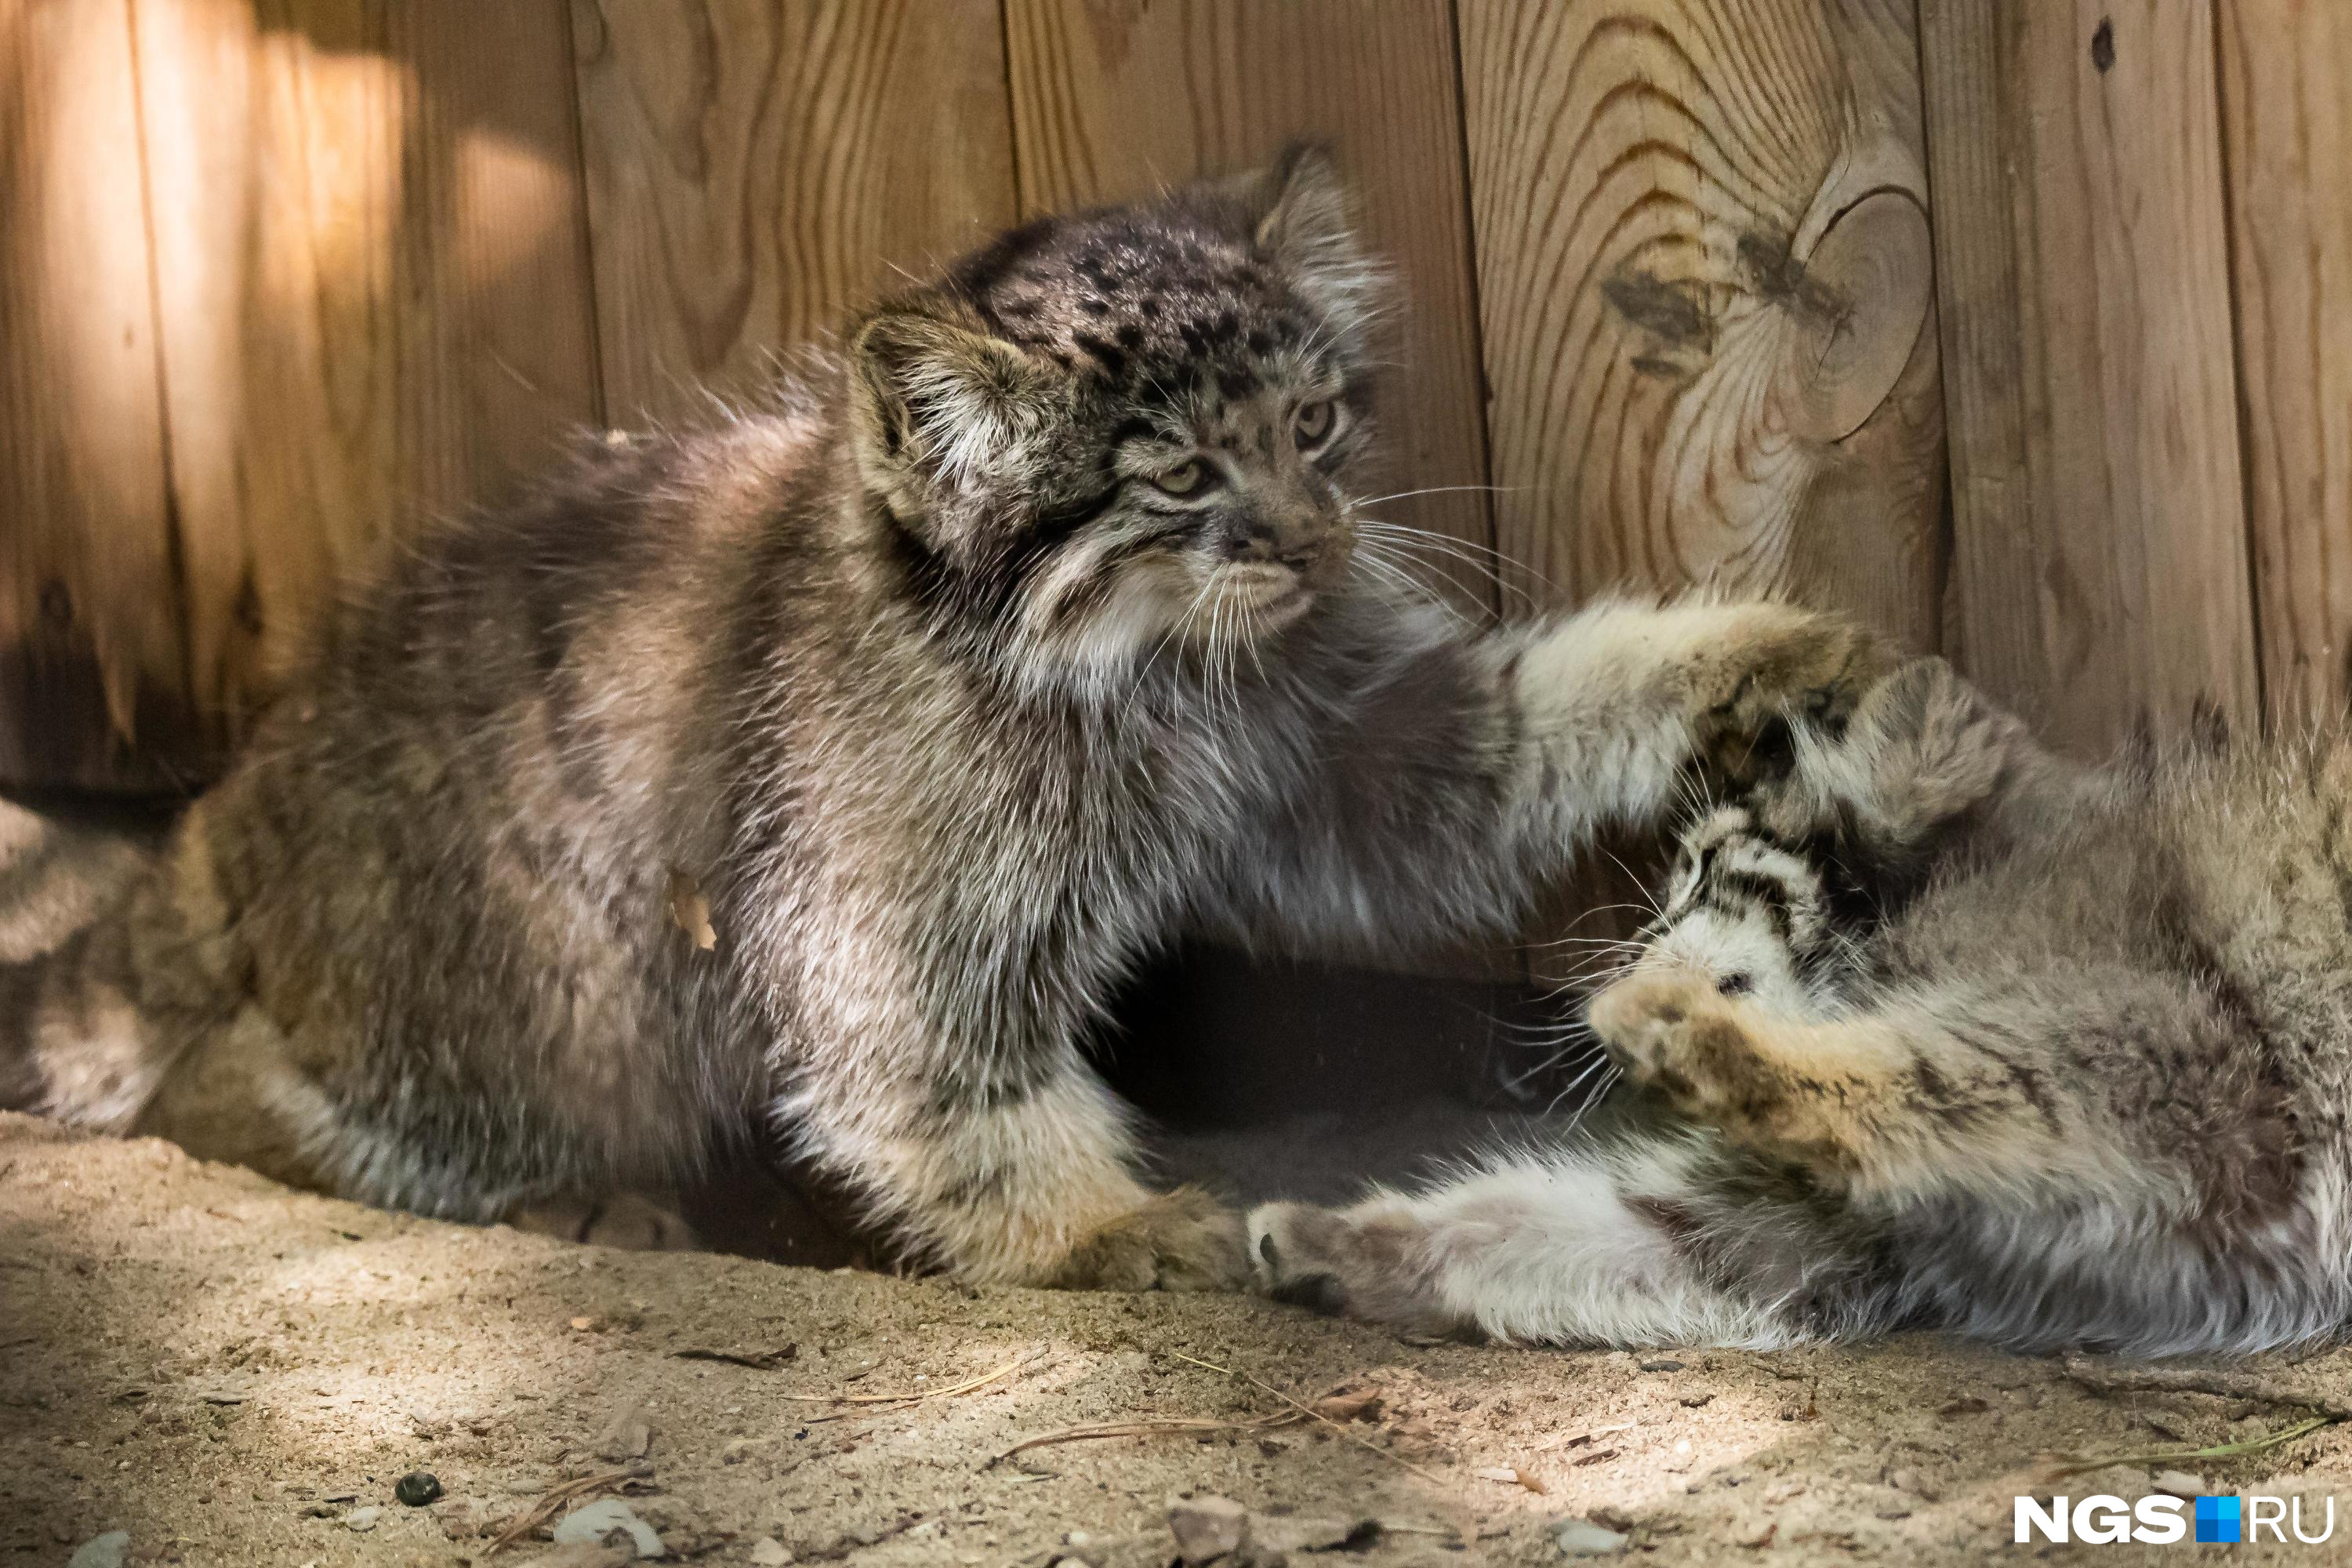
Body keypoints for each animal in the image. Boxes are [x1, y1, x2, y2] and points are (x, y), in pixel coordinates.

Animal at [4, 150, 1872, 1288]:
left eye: (1317, 425)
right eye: (1181, 478)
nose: (1314, 540)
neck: (1148, 674)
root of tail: (233, 800)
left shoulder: (1346, 747)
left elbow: (1524, 728)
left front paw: (1745, 652)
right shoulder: (883, 906)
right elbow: (938, 1078)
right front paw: (1097, 1228)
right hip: (527, 996)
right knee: (239, 1090)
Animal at [1261, 658, 2352, 1354]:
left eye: (1701, 869)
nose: (1618, 965)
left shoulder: (2179, 1053)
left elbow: (1920, 1067)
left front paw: (1690, 1032)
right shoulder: (1813, 1230)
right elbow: (1552, 1229)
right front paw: (1344, 1237)